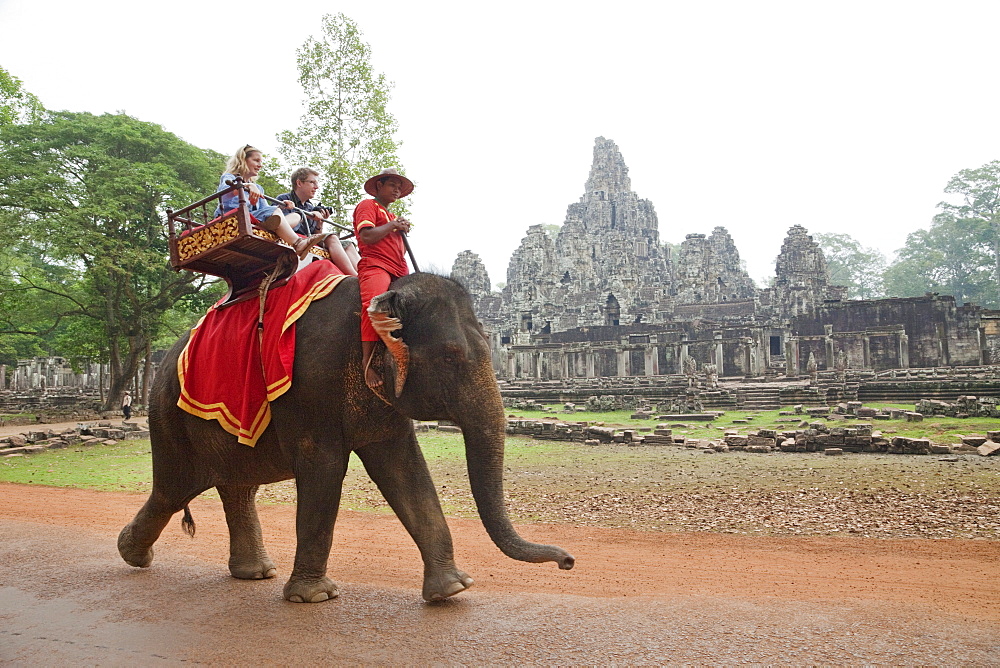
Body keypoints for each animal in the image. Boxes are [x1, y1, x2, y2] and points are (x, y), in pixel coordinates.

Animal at [118, 268, 576, 604]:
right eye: (451, 356)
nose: (569, 562)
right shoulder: (309, 387)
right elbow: (323, 467)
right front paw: (314, 597)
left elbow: (406, 471)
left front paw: (452, 590)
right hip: (167, 417)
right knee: (174, 489)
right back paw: (132, 554)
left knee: (236, 488)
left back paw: (254, 573)